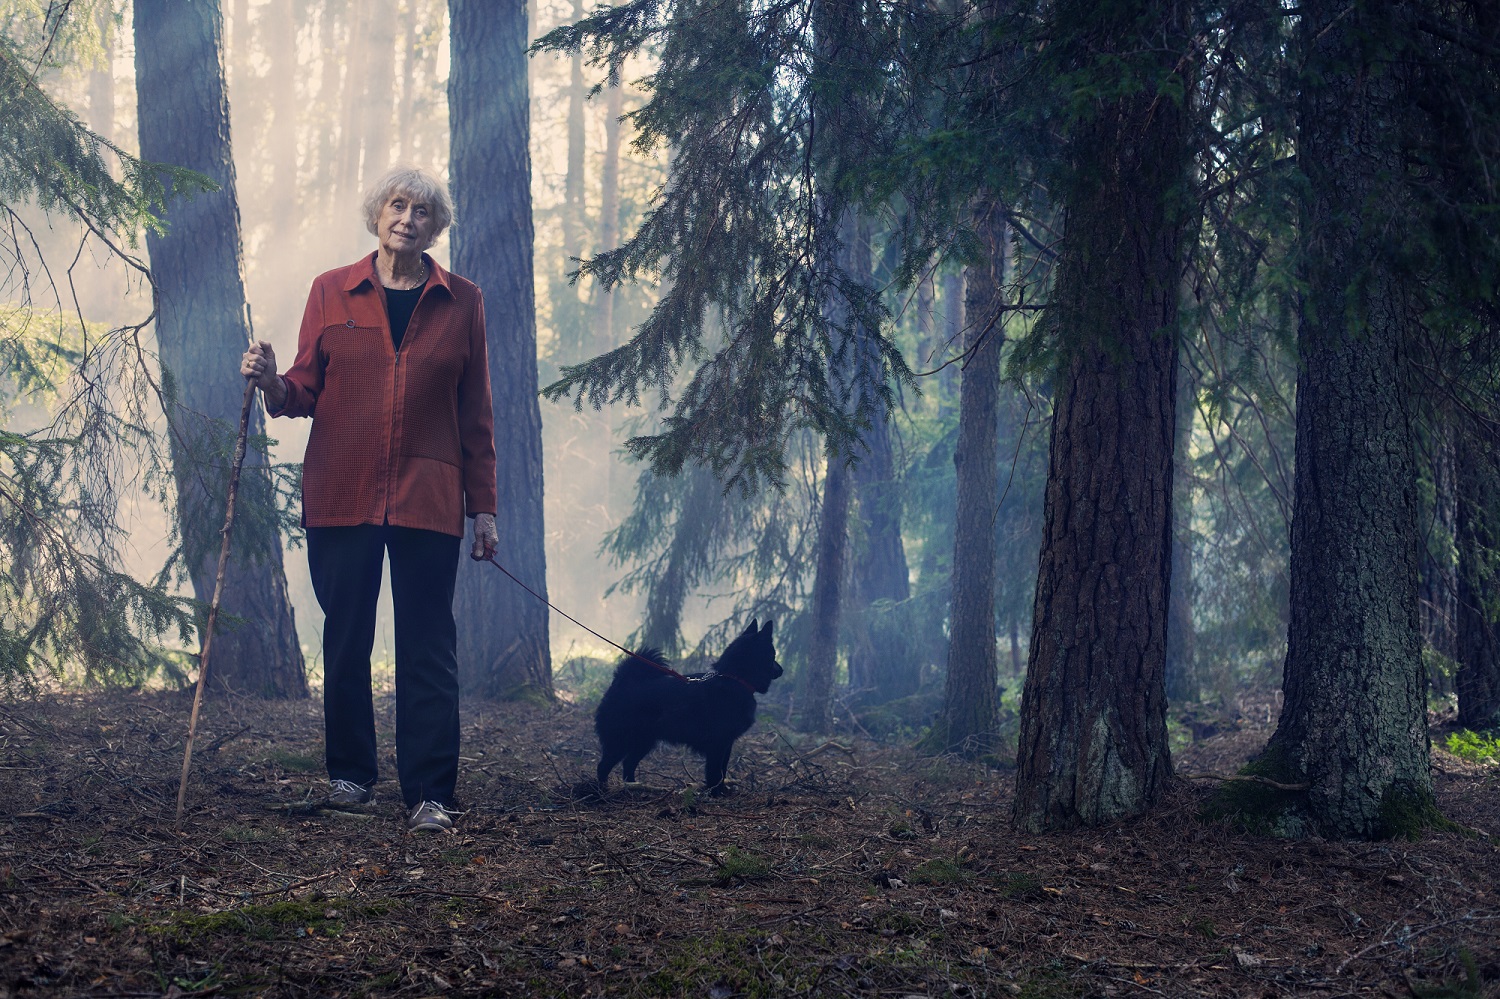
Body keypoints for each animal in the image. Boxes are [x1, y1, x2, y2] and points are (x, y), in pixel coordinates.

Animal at [594, 615, 786, 792]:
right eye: (773, 655)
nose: (782, 670)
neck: (734, 679)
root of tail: (622, 682)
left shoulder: (727, 743)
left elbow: (722, 770)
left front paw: (721, 790)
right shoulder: (718, 743)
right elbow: (715, 772)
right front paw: (717, 793)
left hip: (644, 741)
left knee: (628, 764)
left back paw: (635, 787)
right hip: (622, 740)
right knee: (603, 766)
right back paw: (603, 791)